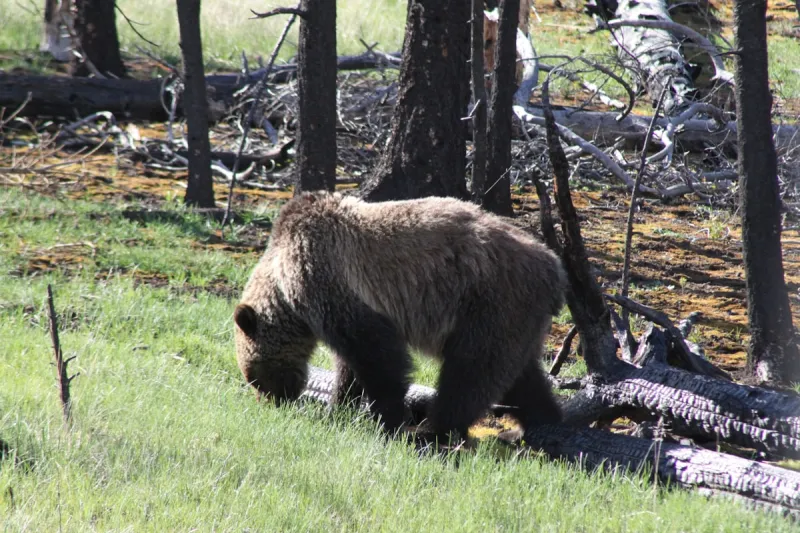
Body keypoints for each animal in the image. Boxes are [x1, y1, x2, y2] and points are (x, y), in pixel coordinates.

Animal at [234, 191, 567, 442]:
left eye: (255, 377)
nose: (276, 401)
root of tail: (555, 269)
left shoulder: (332, 278)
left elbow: (377, 355)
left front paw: (388, 418)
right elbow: (350, 364)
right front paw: (339, 407)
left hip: (489, 300)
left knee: (471, 371)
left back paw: (432, 431)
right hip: (517, 317)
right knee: (520, 375)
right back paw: (543, 421)